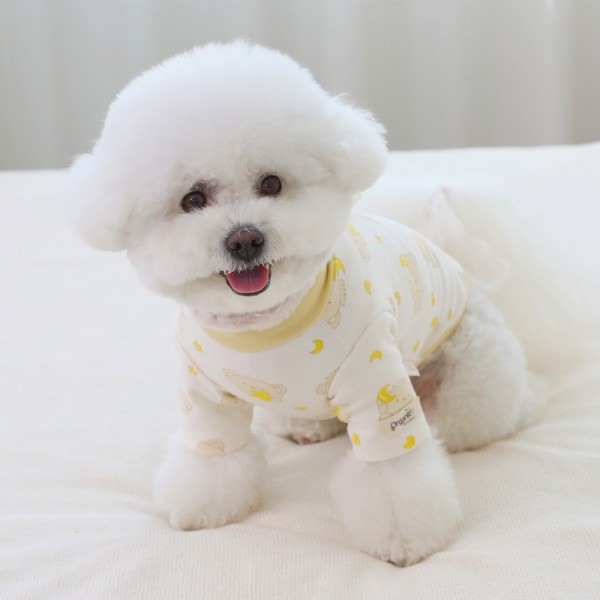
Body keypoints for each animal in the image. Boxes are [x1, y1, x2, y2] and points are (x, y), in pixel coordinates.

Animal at [65, 41, 540, 565]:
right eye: (192, 199)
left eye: (271, 183)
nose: (245, 239)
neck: (266, 327)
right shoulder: (205, 394)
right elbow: (214, 457)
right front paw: (205, 506)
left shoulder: (377, 384)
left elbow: (393, 476)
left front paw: (404, 538)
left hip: (471, 374)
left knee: (474, 418)